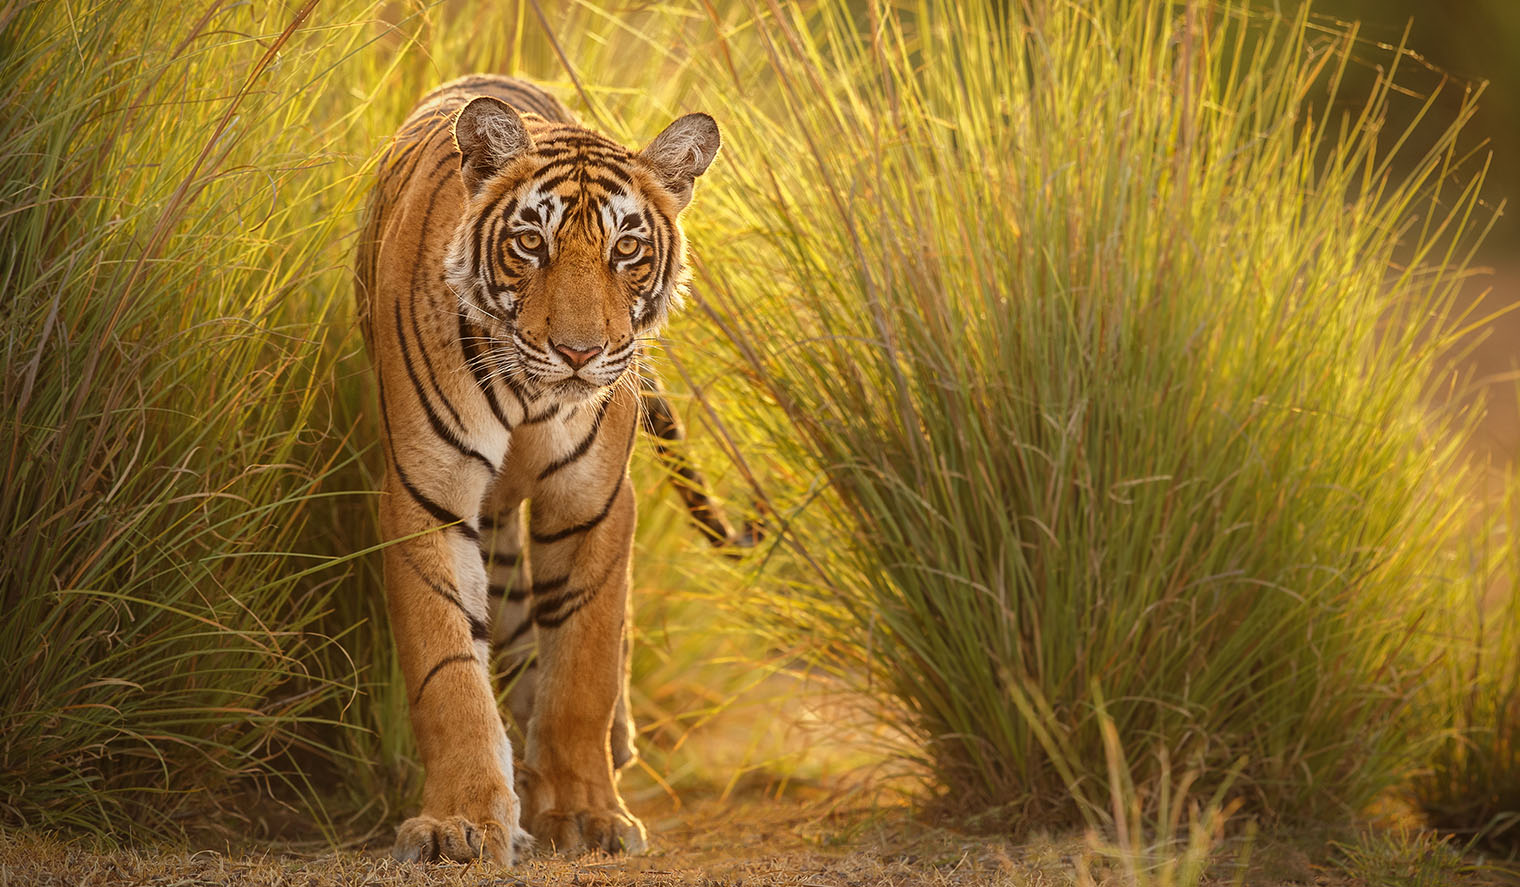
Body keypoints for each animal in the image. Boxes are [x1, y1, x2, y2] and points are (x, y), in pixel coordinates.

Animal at [358, 77, 726, 868]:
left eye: (627, 249)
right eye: (531, 243)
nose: (580, 352)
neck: (531, 396)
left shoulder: (593, 500)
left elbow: (584, 664)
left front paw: (587, 812)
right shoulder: (426, 495)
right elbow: (448, 670)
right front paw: (460, 822)